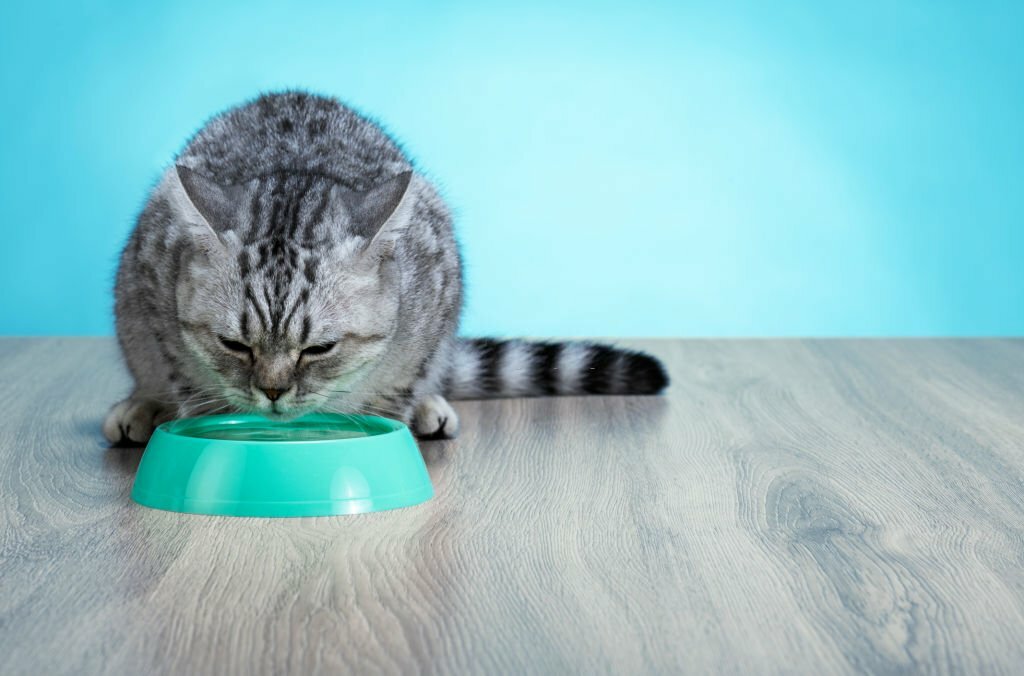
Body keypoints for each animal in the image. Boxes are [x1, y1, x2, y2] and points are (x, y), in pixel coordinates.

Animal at [101, 92, 663, 446]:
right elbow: (195, 389)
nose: (274, 392)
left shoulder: (432, 303)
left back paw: (431, 408)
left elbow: (395, 391)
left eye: (319, 349)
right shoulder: (157, 302)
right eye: (234, 345)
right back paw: (139, 407)